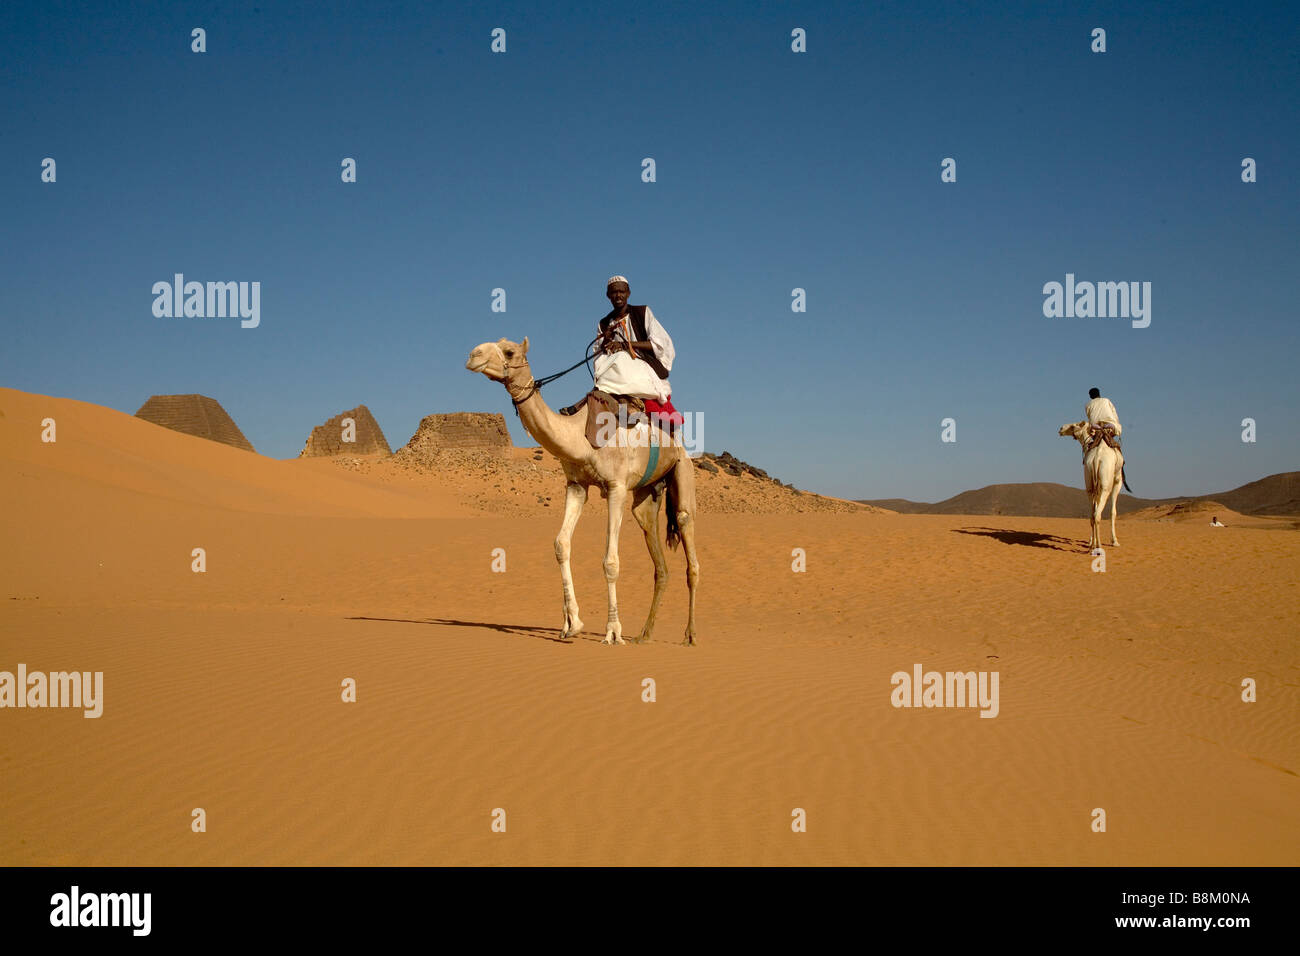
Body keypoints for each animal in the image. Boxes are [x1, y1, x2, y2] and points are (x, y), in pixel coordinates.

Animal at [467, 340, 702, 647]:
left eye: (510, 352)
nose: (473, 355)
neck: (580, 438)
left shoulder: (616, 487)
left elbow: (610, 561)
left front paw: (613, 631)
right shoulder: (576, 484)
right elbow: (561, 544)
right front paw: (571, 624)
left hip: (683, 469)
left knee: (688, 542)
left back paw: (690, 635)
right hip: (646, 494)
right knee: (657, 555)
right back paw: (644, 634)